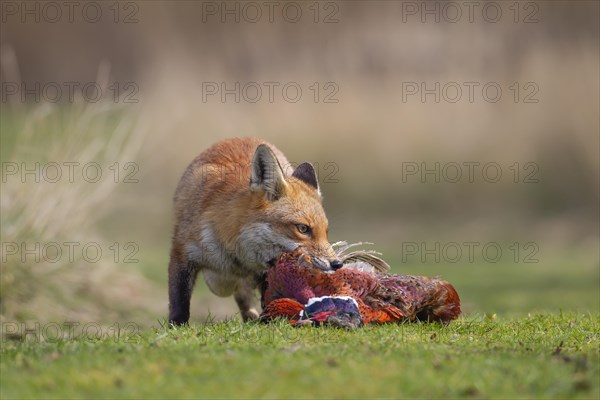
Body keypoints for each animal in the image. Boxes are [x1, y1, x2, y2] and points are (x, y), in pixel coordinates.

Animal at [169, 138, 342, 324]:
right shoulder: (182, 253)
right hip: (217, 284)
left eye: (326, 231)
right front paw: (177, 325)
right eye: (303, 228)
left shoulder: (266, 272)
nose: (337, 264)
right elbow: (179, 300)